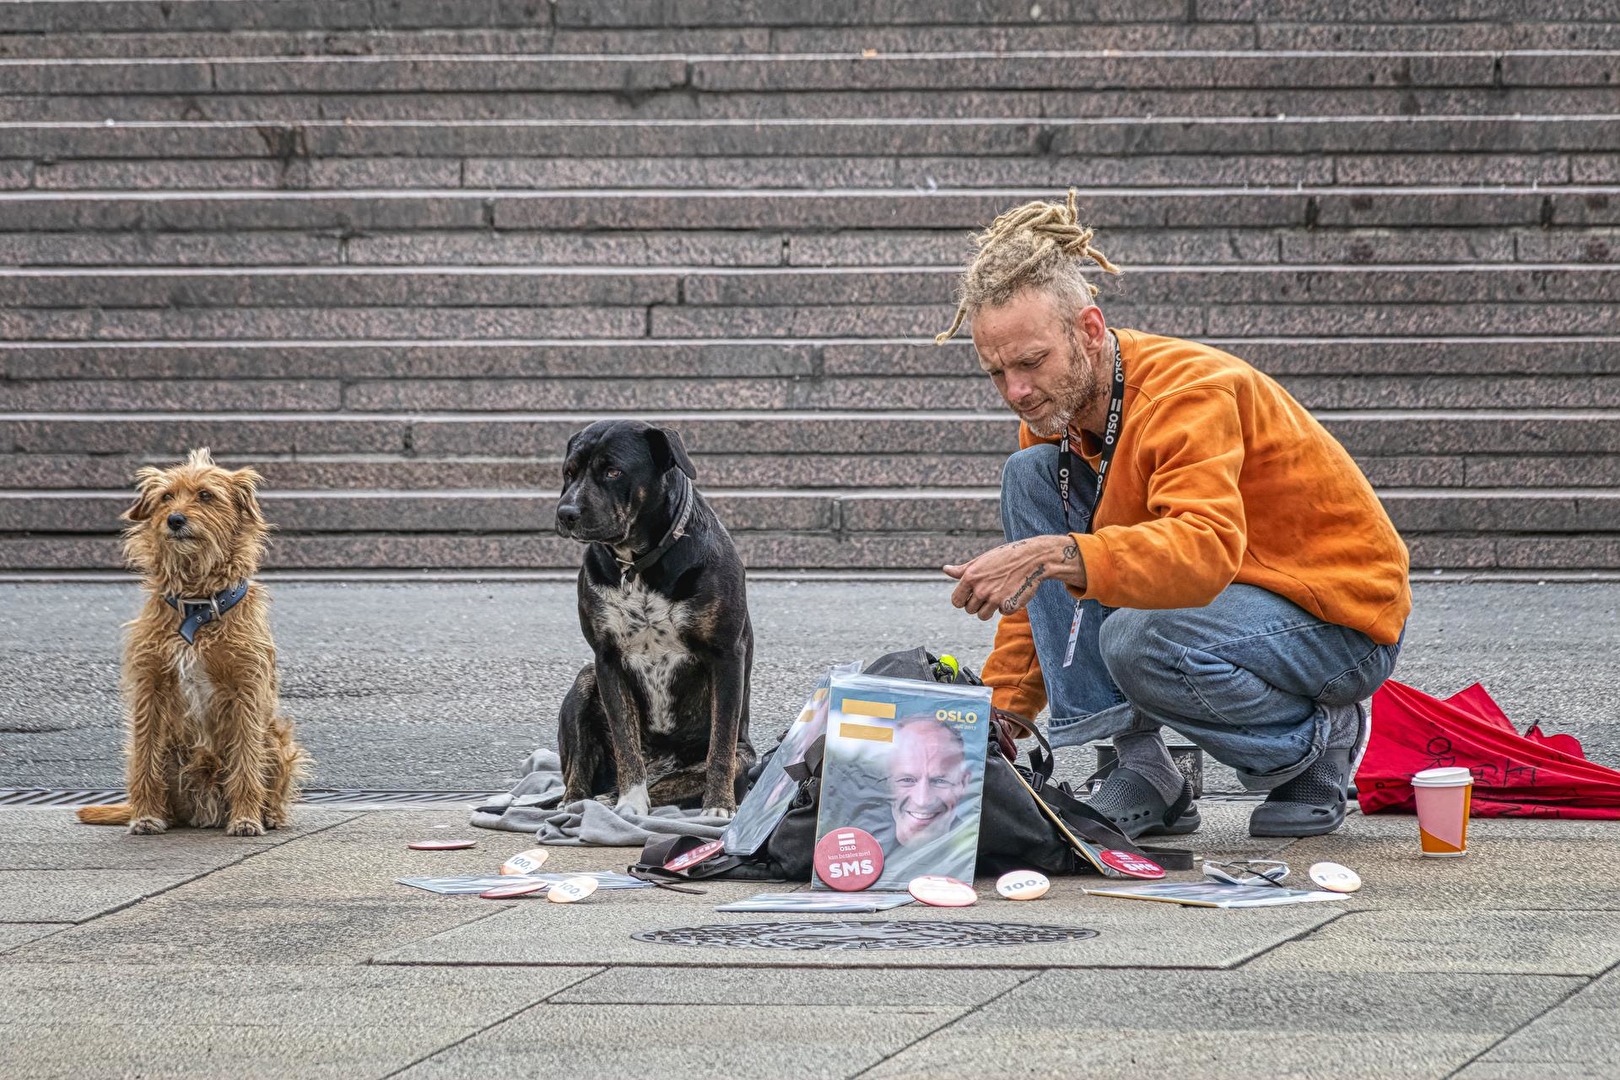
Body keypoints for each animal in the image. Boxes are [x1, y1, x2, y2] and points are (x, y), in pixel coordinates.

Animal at [77, 446, 307, 835]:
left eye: (206, 495)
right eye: (166, 497)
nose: (175, 520)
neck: (196, 605)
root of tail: (202, 812)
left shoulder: (246, 690)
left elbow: (247, 761)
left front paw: (246, 818)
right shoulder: (149, 686)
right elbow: (145, 756)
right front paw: (145, 816)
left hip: (277, 738)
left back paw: (269, 815)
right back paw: (157, 812)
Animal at [554, 420, 754, 819]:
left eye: (613, 472)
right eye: (569, 472)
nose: (566, 512)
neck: (640, 563)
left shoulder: (727, 655)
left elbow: (721, 744)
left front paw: (718, 807)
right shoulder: (607, 659)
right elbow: (625, 742)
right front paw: (631, 804)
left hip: (746, 757)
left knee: (683, 778)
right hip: (585, 680)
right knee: (581, 764)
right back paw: (579, 801)